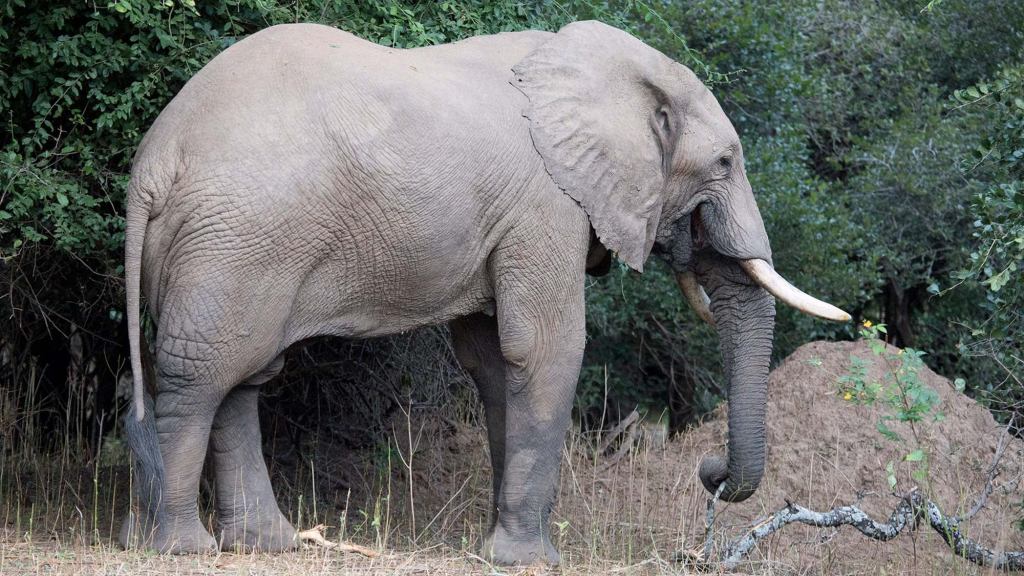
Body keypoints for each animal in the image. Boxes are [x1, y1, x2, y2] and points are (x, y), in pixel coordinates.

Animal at [119, 20, 847, 561]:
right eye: (724, 164)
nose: (709, 472)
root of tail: (153, 161)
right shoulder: (547, 205)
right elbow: (547, 348)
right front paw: (530, 561)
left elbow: (494, 360)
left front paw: (505, 549)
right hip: (235, 243)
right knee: (202, 377)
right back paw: (182, 549)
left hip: (232, 250)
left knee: (240, 376)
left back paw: (265, 545)